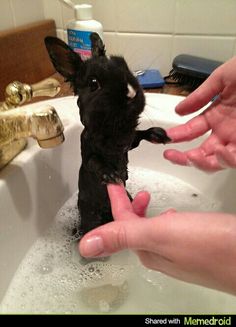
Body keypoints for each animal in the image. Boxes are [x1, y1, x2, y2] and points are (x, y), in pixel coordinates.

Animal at [43, 33, 170, 238]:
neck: (113, 129)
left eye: (124, 66)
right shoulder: (89, 153)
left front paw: (159, 134)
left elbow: (139, 135)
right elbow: (95, 162)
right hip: (89, 215)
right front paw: (111, 175)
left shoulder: (129, 144)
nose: (131, 93)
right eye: (94, 83)